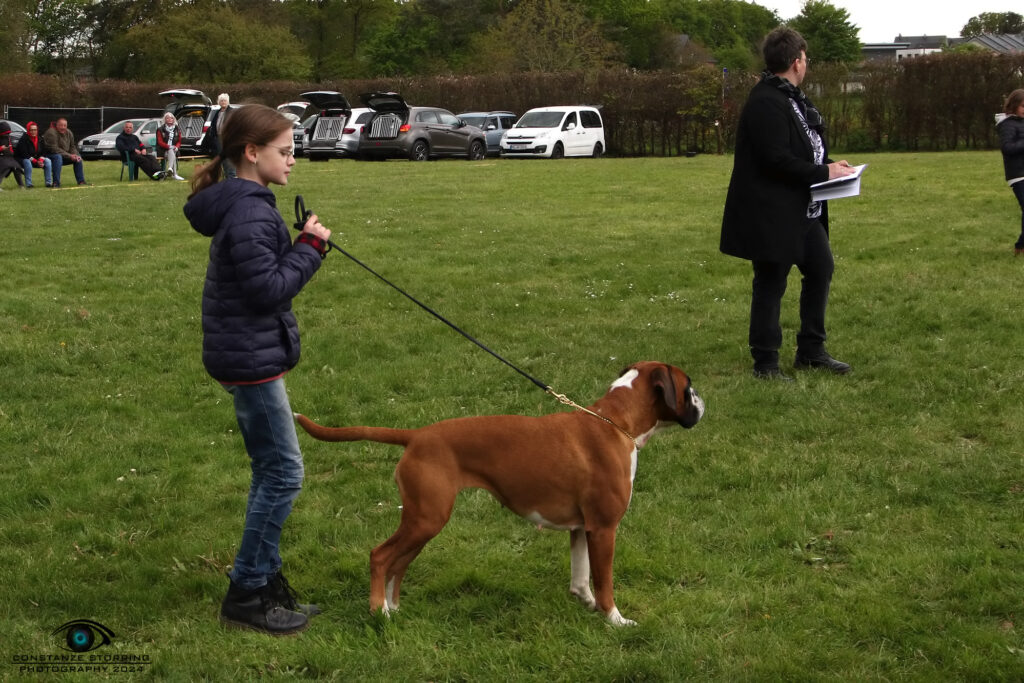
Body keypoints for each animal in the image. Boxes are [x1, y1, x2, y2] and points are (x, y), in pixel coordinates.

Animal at [292, 360, 700, 626]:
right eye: (688, 386)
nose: (701, 403)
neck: (614, 422)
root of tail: (417, 435)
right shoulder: (604, 529)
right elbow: (605, 581)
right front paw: (614, 619)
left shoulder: (581, 528)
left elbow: (581, 574)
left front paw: (584, 601)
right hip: (426, 519)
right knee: (381, 556)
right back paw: (378, 612)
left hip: (422, 522)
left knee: (398, 563)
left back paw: (392, 609)